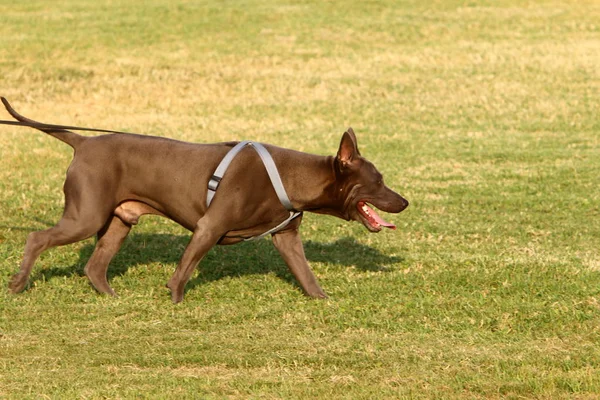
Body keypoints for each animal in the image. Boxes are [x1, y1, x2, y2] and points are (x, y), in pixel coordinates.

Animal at [1, 98, 408, 302]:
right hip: (86, 216)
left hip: (118, 222)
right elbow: (184, 269)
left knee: (94, 266)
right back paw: (19, 283)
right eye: (379, 181)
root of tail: (83, 141)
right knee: (37, 238)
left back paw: (111, 296)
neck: (292, 176)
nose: (404, 202)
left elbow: (306, 275)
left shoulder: (287, 237)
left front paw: (323, 300)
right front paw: (175, 300)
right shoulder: (209, 226)